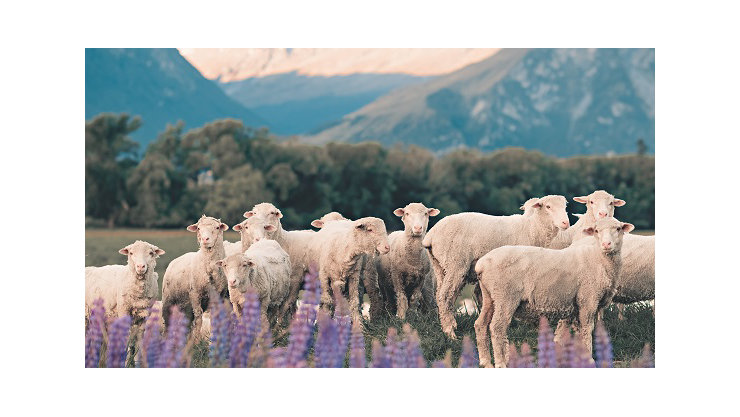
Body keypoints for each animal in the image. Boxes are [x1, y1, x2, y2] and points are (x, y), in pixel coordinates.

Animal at [422, 195, 570, 339]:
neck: (531, 228)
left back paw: (448, 323)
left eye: (565, 206)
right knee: (444, 295)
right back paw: (449, 332)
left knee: (441, 295)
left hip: (440, 266)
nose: (566, 223)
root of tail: (431, 235)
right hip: (456, 264)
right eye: (548, 206)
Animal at [473, 217, 635, 367]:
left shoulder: (576, 304)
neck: (599, 259)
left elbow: (574, 331)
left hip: (490, 296)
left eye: (618, 228)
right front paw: (589, 360)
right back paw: (500, 363)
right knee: (497, 327)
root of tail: (481, 264)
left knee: (480, 324)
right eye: (596, 230)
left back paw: (485, 361)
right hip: (505, 296)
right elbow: (587, 329)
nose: (606, 245)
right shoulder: (588, 299)